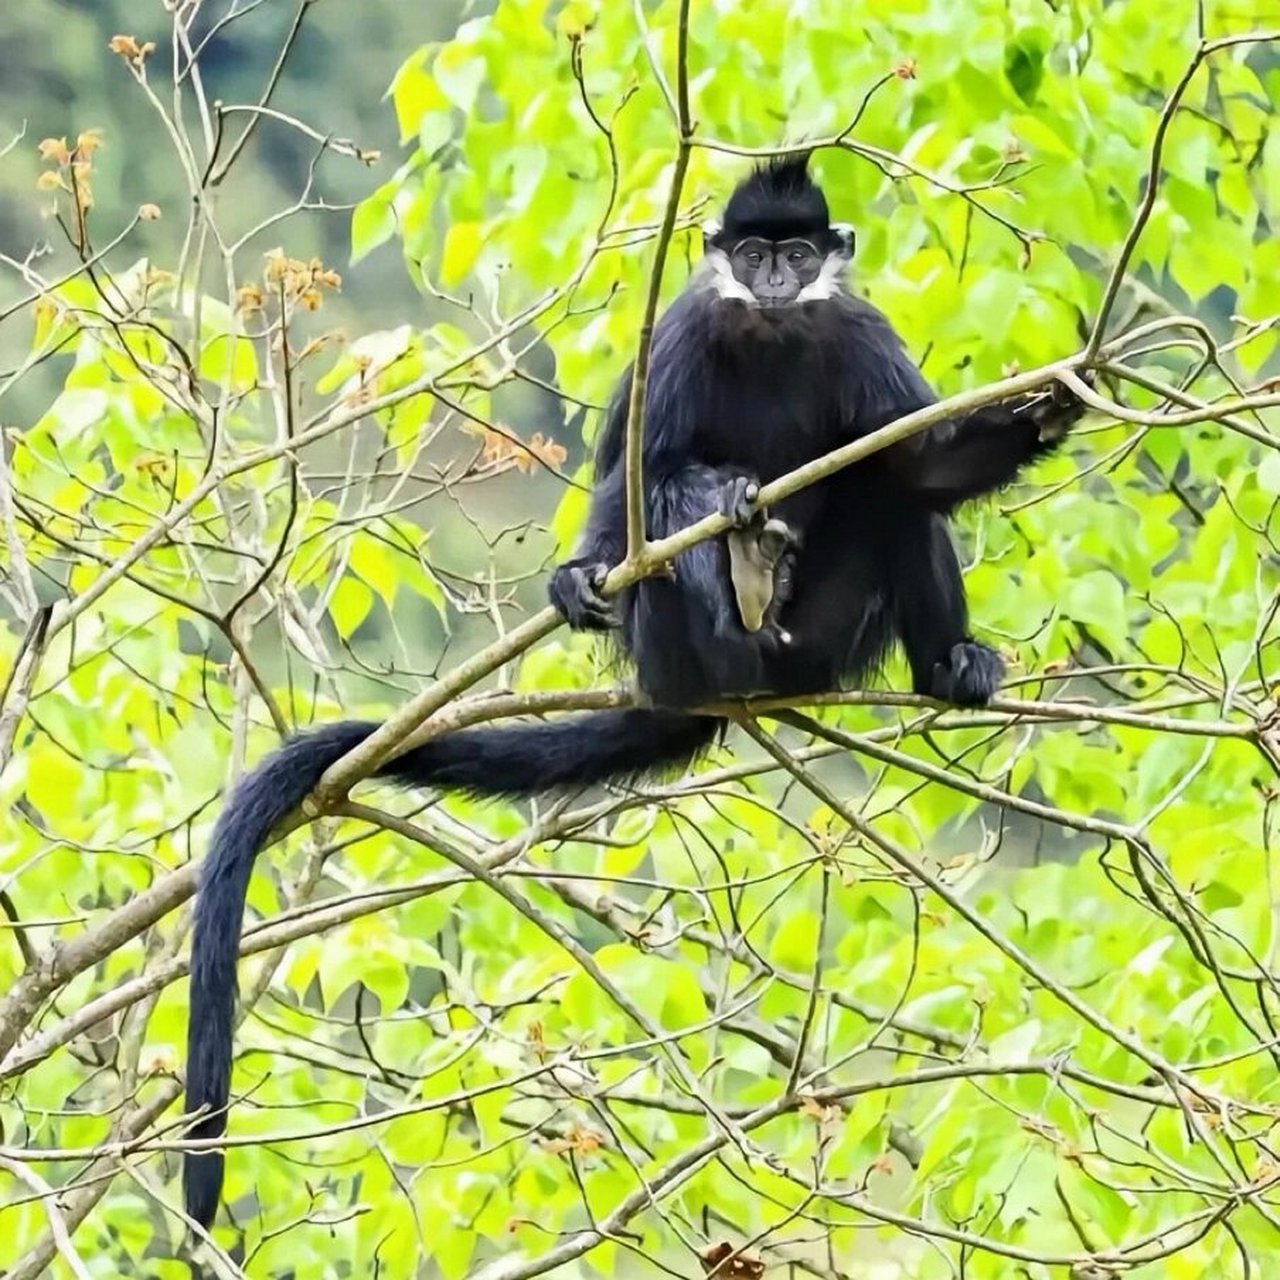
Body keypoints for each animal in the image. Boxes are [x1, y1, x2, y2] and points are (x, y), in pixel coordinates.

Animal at [177, 154, 1080, 1223]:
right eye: (756, 256)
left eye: (799, 254)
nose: (777, 281)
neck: (772, 334)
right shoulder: (681, 335)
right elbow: (628, 474)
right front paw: (584, 572)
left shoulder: (855, 331)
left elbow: (914, 463)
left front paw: (1048, 411)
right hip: (679, 647)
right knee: (673, 493)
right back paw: (732, 557)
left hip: (828, 640)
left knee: (891, 498)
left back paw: (944, 665)